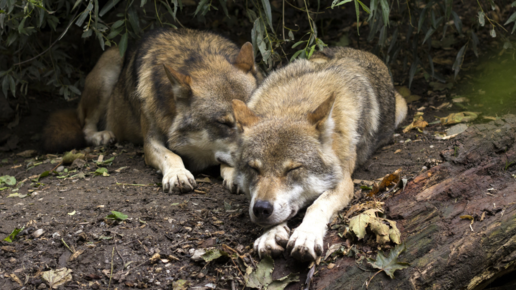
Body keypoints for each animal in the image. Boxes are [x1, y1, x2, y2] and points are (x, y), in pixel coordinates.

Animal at [231, 47, 408, 260]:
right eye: (254, 169)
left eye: (293, 169)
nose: (261, 209)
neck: (294, 103)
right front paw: (269, 235)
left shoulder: (343, 182)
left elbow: (316, 205)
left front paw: (306, 235)